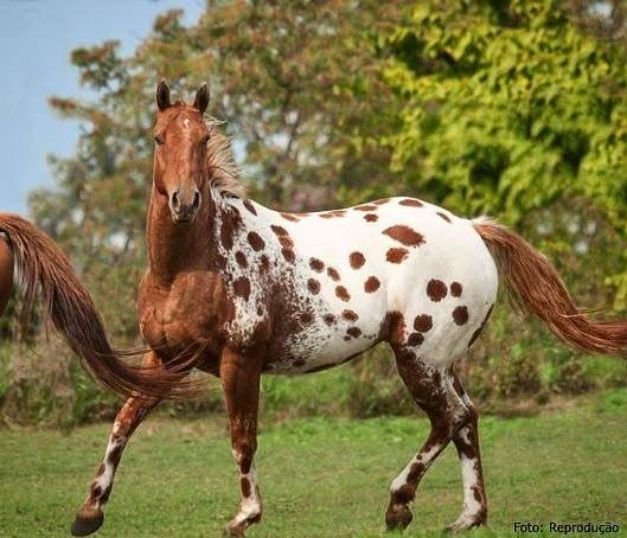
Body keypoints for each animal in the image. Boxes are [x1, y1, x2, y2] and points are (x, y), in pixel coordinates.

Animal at [0, 81, 624, 532]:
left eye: (200, 140)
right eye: (158, 138)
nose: (185, 201)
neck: (193, 263)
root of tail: (470, 227)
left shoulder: (240, 360)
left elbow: (242, 435)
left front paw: (245, 516)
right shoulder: (164, 359)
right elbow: (123, 423)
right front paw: (88, 512)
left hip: (417, 356)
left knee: (446, 421)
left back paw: (399, 504)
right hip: (443, 359)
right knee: (466, 418)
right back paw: (466, 516)